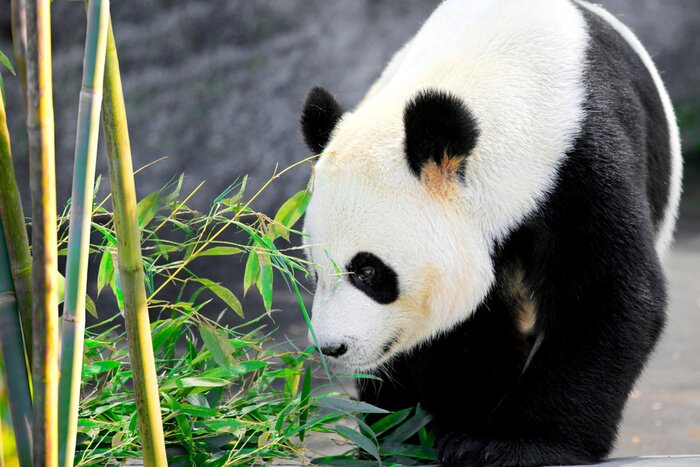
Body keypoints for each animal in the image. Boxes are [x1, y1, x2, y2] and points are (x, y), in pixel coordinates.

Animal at [299, 0, 682, 465]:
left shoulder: (580, 163)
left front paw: (519, 443)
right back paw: (390, 435)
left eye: (369, 271)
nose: (331, 347)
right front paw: (455, 428)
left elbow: (604, 294)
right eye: (314, 272)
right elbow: (464, 332)